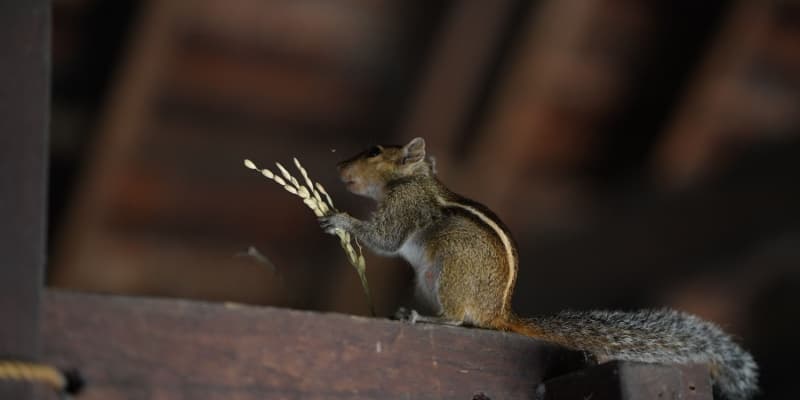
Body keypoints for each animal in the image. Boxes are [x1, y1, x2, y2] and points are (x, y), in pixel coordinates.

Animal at [320, 137, 758, 400]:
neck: (414, 179)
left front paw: (342, 220)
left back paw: (424, 318)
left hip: (453, 271)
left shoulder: (405, 206)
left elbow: (387, 239)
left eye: (374, 151)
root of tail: (499, 313)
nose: (339, 166)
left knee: (459, 319)